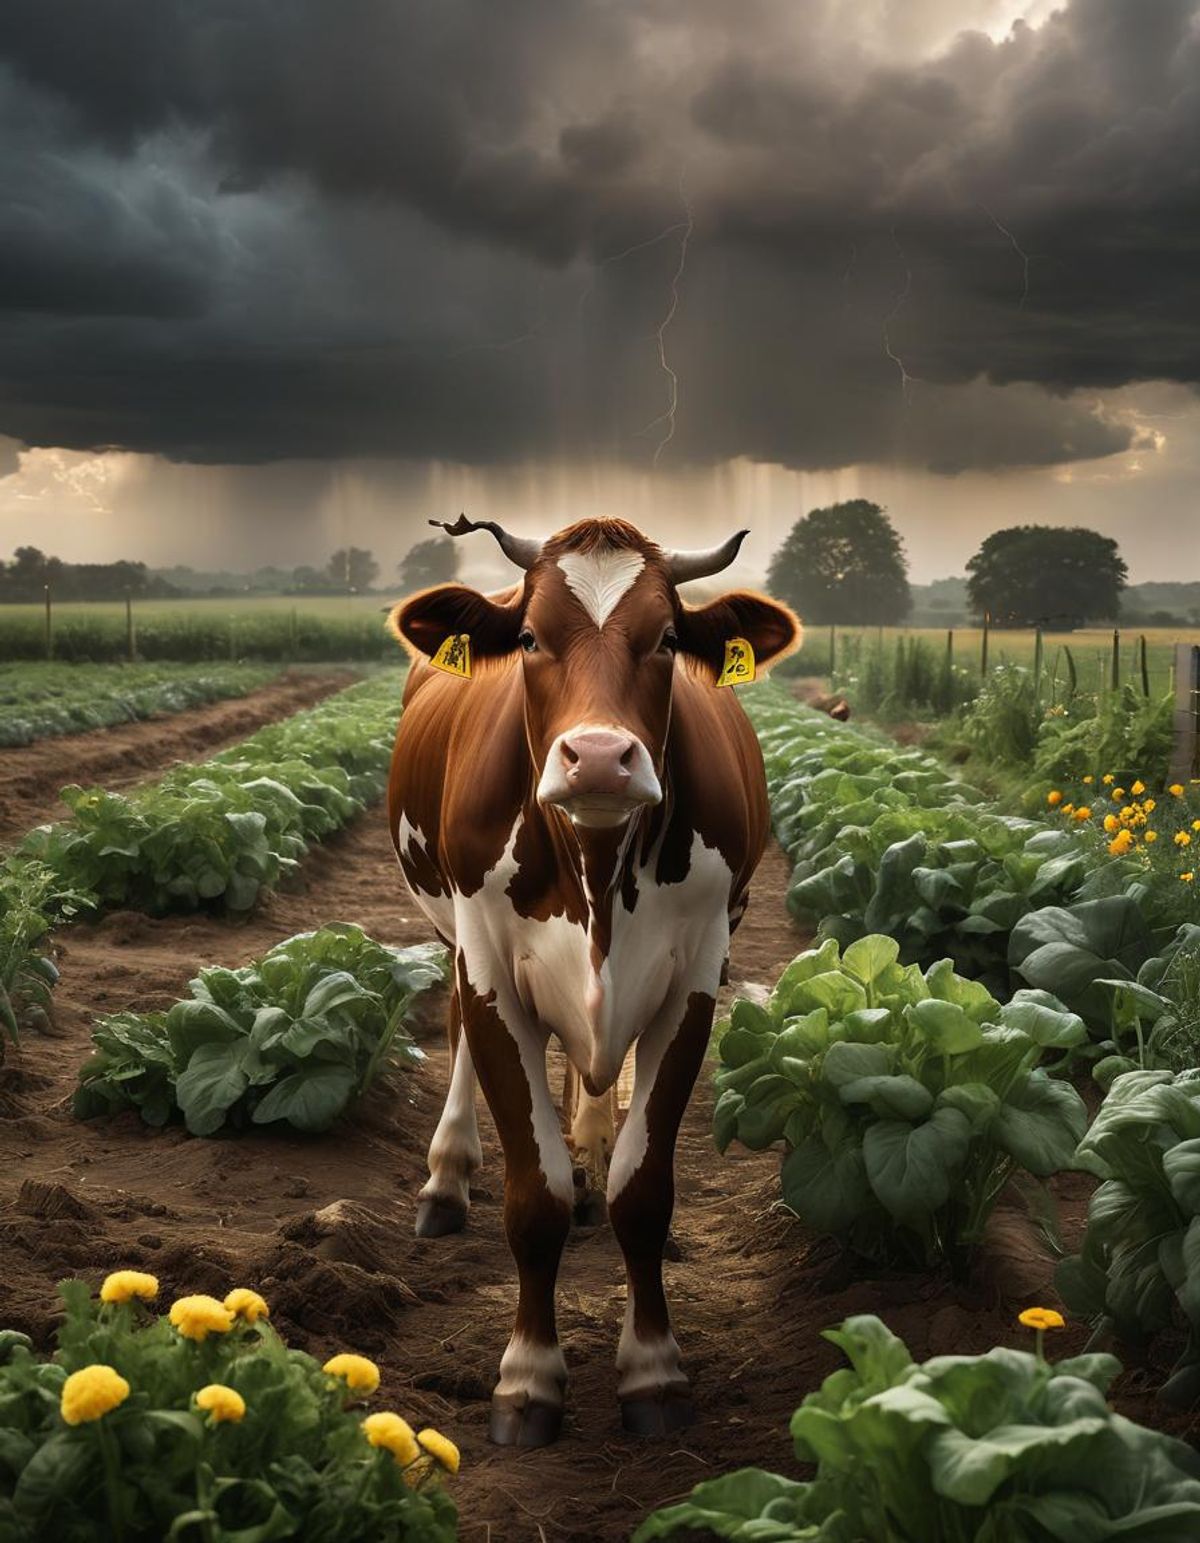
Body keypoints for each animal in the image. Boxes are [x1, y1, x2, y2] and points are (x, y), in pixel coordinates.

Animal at [387, 515, 799, 1447]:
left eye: (670, 638)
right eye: (532, 637)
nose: (603, 758)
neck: (597, 863)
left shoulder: (693, 978)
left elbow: (643, 1192)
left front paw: (652, 1369)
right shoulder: (491, 969)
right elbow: (531, 1194)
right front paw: (528, 1378)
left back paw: (591, 1154)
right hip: (451, 935)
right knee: (458, 1036)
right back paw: (448, 1175)